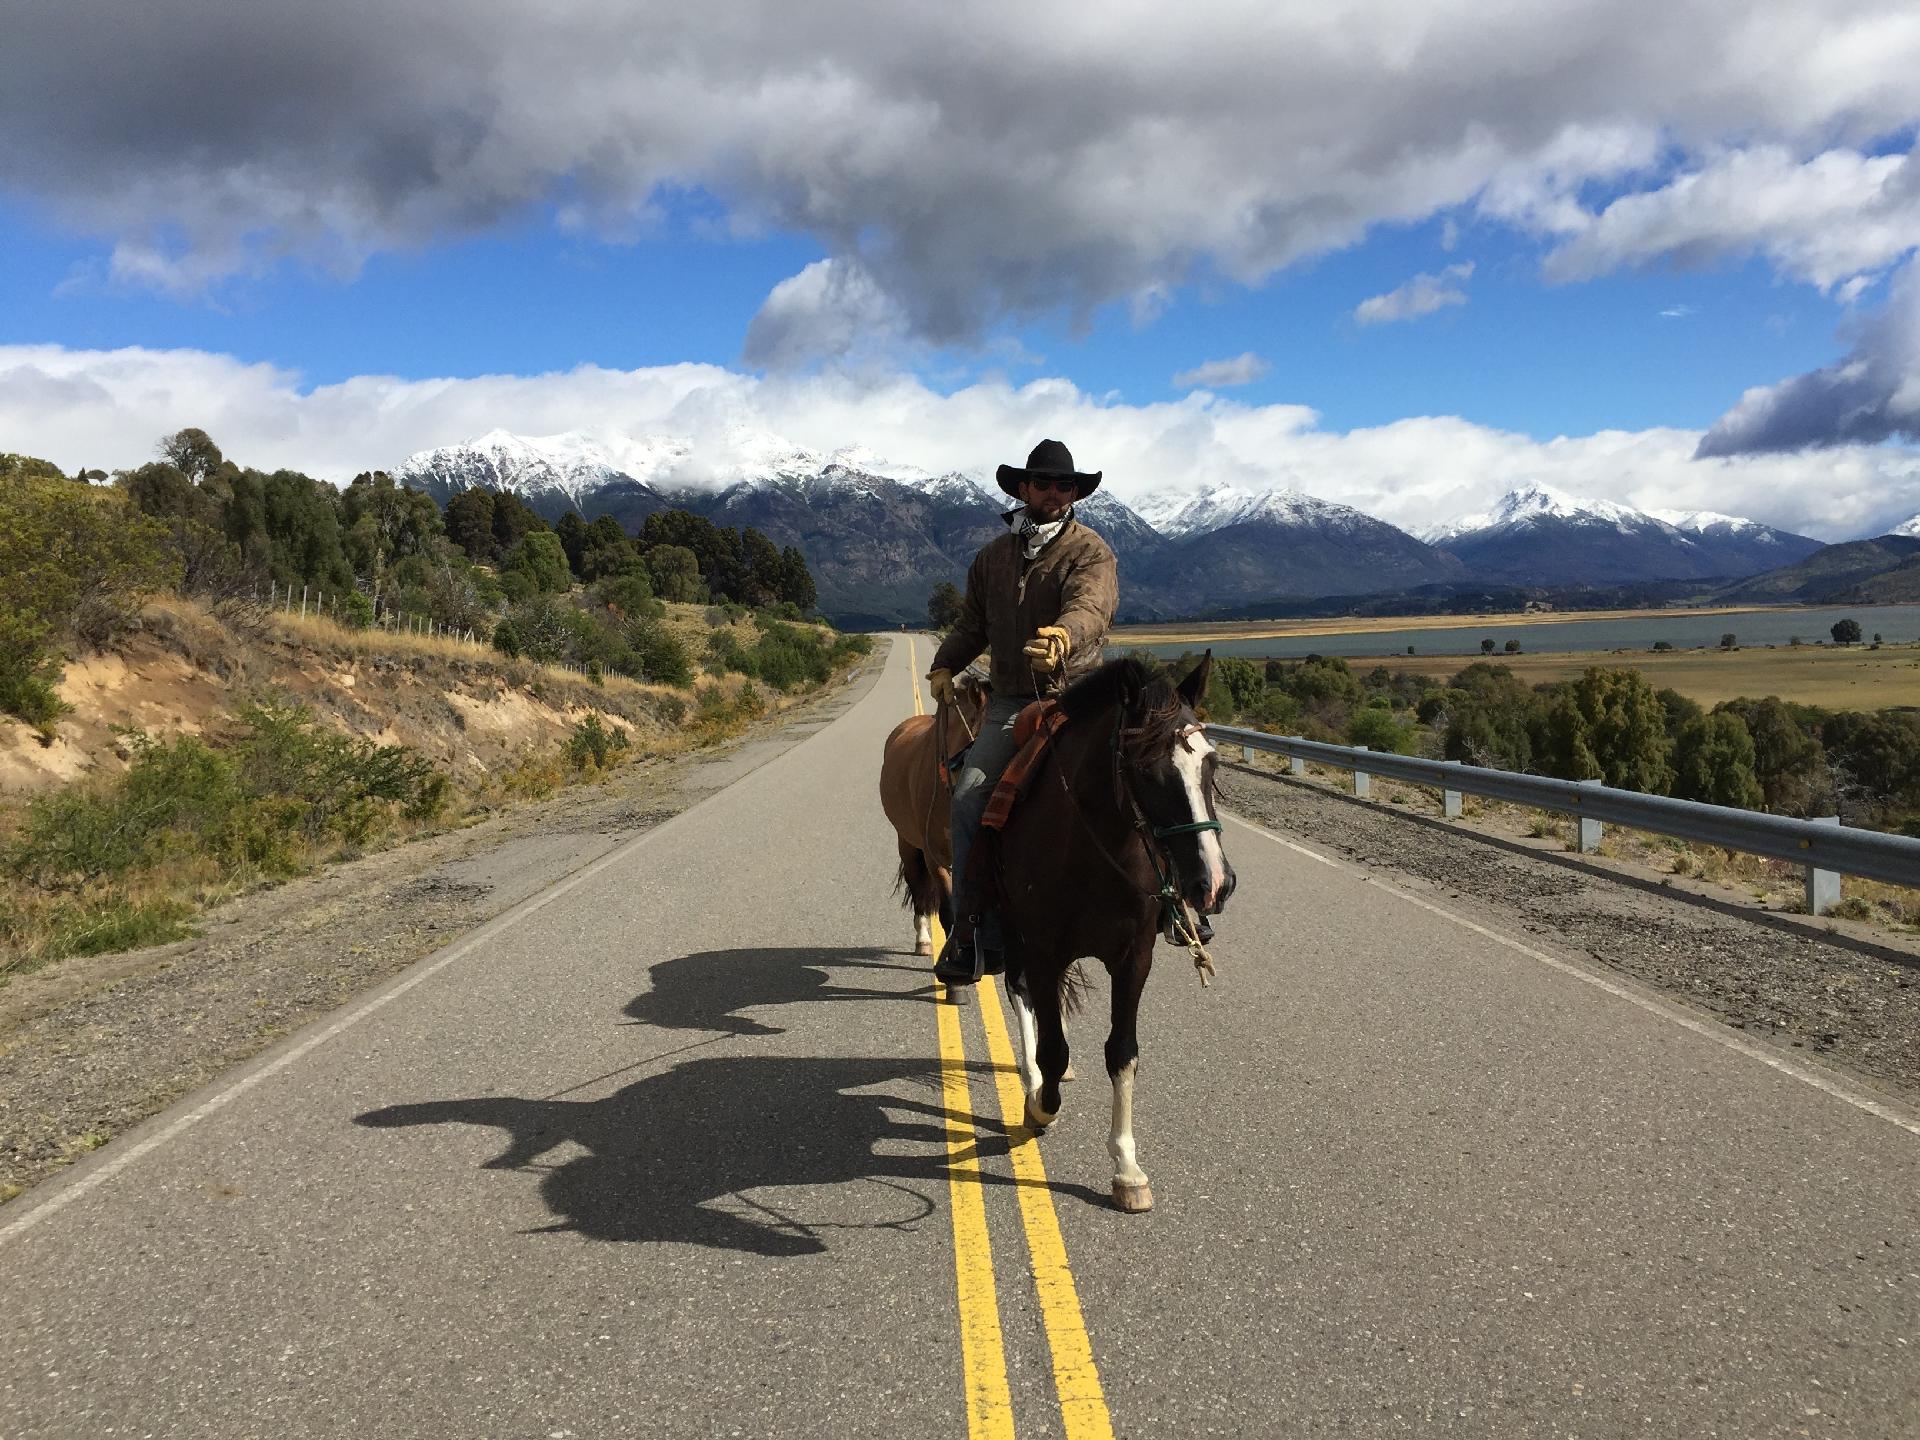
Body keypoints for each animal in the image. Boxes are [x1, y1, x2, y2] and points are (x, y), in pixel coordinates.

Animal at [983, 660, 1236, 1213]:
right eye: (1145, 770)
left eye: (1212, 764)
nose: (1214, 883)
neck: (1093, 849)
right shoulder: (1043, 950)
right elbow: (1053, 1047)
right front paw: (1040, 1107)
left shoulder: (1133, 958)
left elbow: (1123, 1052)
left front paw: (1126, 1168)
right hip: (1012, 934)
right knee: (1021, 995)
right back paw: (1032, 1078)